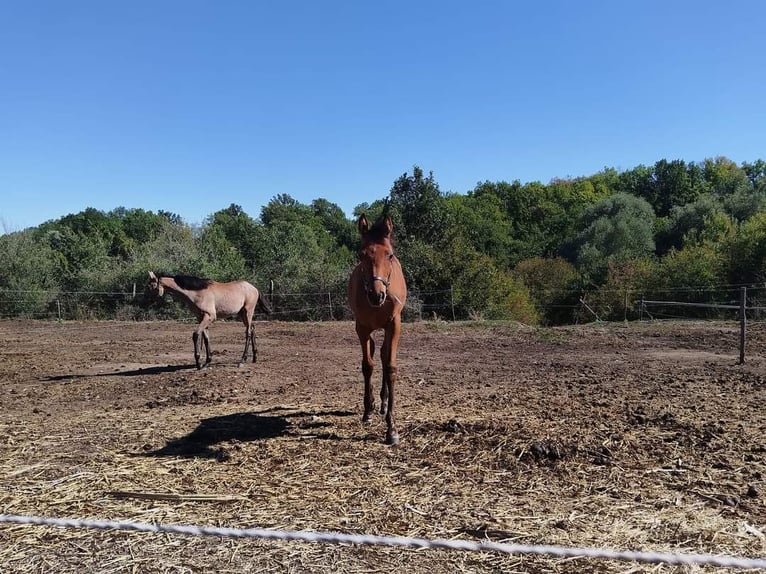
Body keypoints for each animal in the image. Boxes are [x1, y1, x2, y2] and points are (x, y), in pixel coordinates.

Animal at [348, 215, 408, 446]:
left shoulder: (394, 325)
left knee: (383, 355)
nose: (377, 295)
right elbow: (367, 365)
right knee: (375, 354)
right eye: (361, 254)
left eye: (389, 254)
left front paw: (392, 428)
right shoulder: (362, 328)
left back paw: (383, 403)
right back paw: (374, 404)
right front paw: (367, 410)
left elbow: (390, 367)